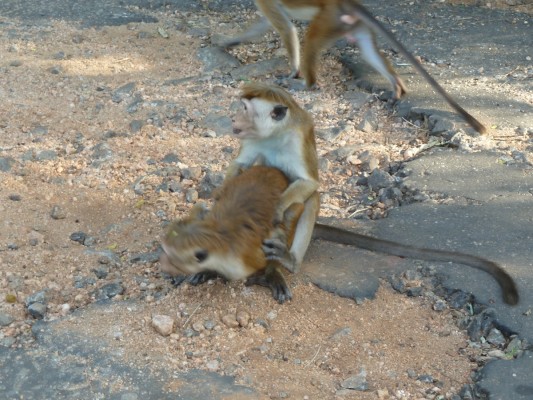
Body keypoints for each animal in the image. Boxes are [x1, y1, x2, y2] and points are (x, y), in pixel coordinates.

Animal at [221, 0, 486, 134]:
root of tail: (346, 2)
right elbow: (265, 24)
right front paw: (229, 42)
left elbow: (285, 28)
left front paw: (292, 71)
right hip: (350, 23)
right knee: (369, 52)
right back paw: (397, 86)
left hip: (329, 17)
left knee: (312, 39)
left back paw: (307, 84)